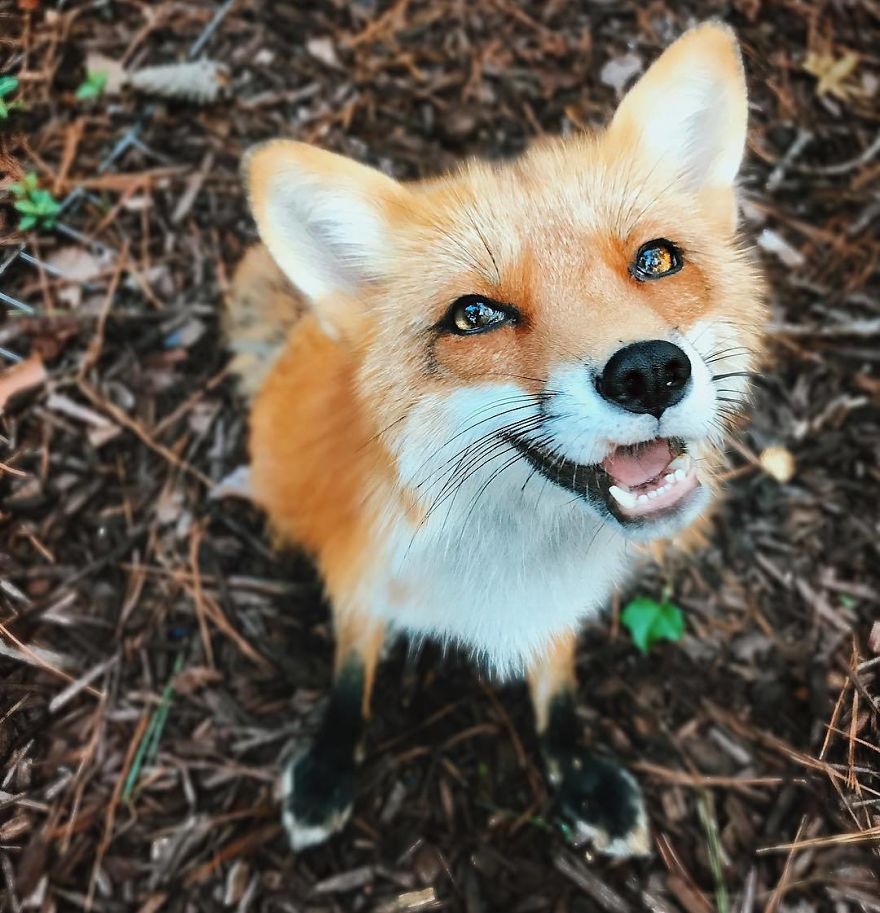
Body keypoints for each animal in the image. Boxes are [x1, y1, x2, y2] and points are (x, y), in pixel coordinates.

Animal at [225, 22, 766, 858]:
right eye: (475, 315)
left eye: (657, 259)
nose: (648, 371)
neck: (510, 551)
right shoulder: (359, 579)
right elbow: (350, 677)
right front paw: (327, 767)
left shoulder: (557, 608)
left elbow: (558, 695)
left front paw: (578, 775)